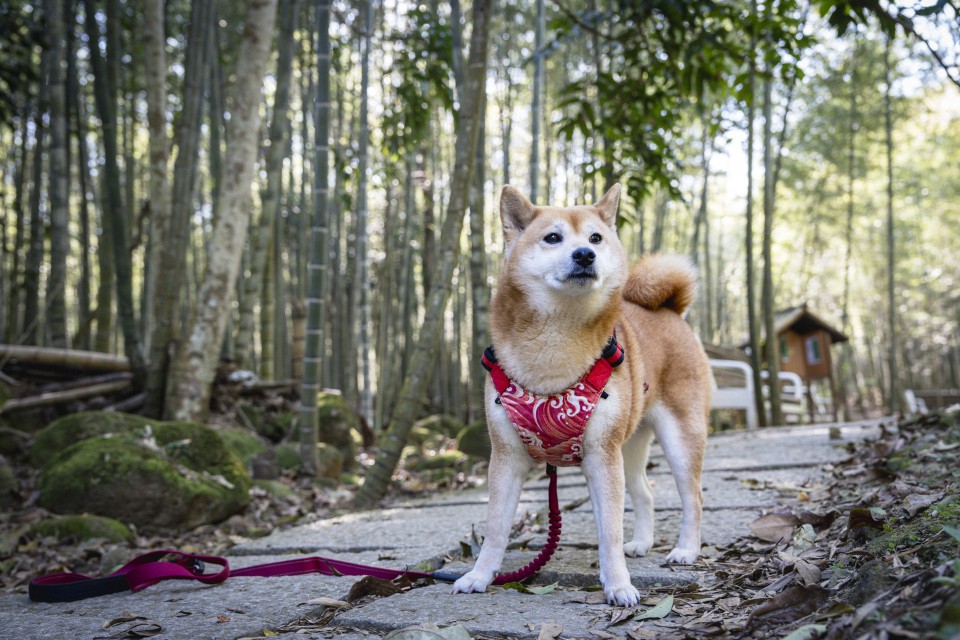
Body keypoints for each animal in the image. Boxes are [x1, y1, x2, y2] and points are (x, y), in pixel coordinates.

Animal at [452, 184, 712, 604]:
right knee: (645, 492)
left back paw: (685, 550)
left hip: (678, 437)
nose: (585, 255)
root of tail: (670, 310)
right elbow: (495, 529)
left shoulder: (600, 456)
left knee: (693, 497)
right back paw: (641, 543)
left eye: (595, 239)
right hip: (629, 444)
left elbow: (610, 531)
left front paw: (618, 585)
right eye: (552, 238)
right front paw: (480, 575)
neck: (556, 342)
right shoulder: (507, 458)